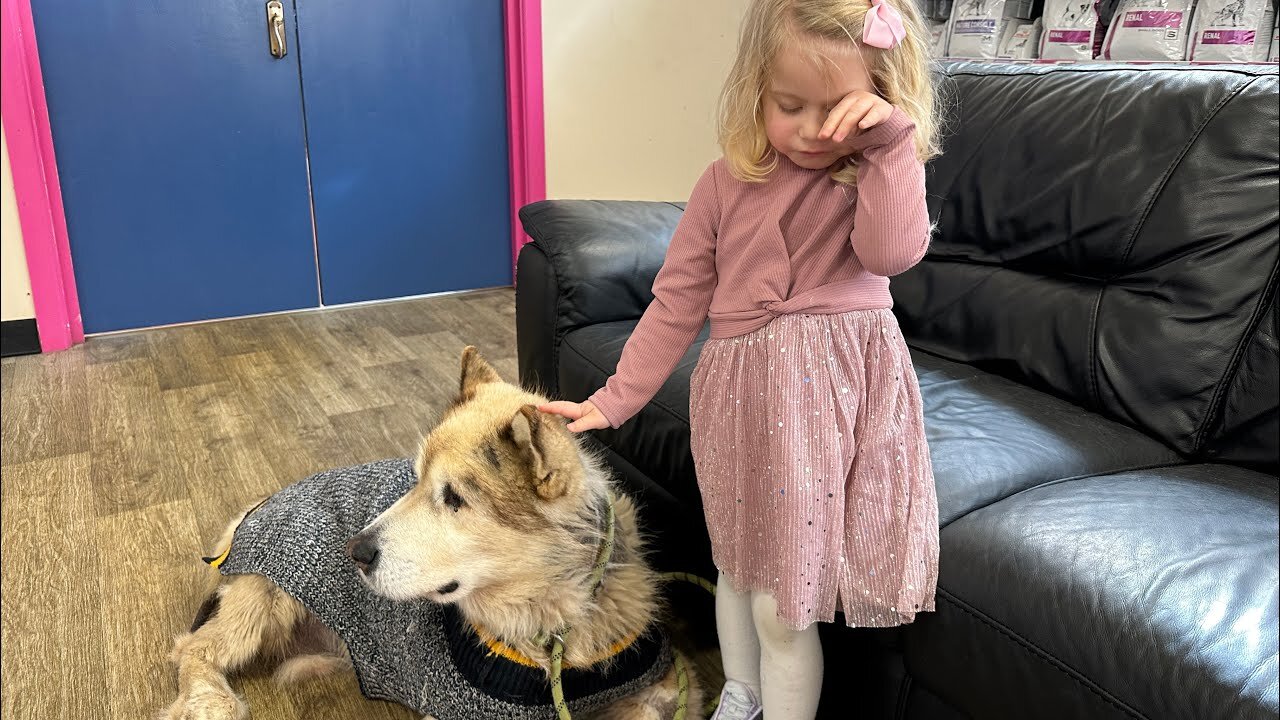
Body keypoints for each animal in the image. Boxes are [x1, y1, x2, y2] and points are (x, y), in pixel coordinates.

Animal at [161, 345, 706, 712]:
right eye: (416, 475)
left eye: (454, 498)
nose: (354, 551)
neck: (552, 622)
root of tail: (247, 513)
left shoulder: (664, 687)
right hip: (267, 600)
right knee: (193, 649)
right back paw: (213, 704)